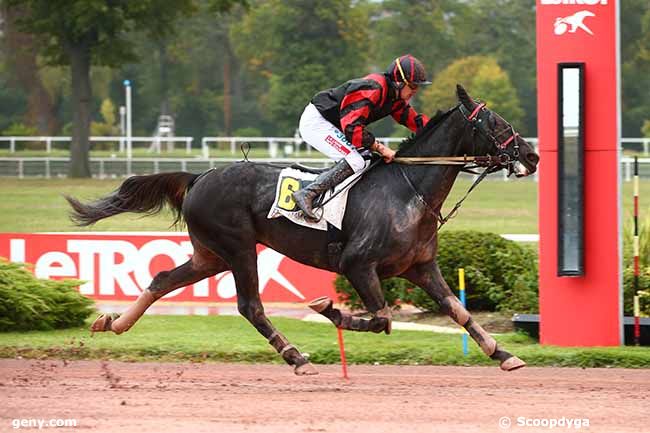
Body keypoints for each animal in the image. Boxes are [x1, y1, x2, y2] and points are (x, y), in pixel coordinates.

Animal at [68, 86, 540, 372]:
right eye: (497, 123)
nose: (532, 157)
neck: (407, 190)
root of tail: (200, 176)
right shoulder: (357, 265)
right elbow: (383, 319)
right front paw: (328, 308)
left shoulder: (421, 267)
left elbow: (459, 311)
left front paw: (504, 353)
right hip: (238, 248)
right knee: (250, 306)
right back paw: (296, 355)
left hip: (210, 254)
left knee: (164, 278)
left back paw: (113, 324)